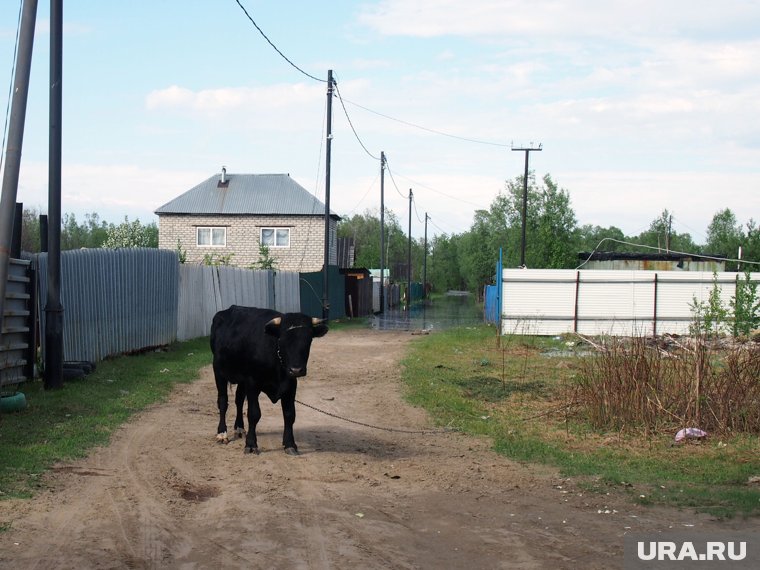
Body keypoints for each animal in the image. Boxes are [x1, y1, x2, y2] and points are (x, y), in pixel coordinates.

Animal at [209, 304, 328, 454]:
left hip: (242, 379)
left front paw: (290, 444)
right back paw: (221, 433)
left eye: (308, 340)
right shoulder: (252, 382)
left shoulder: (290, 384)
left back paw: (239, 428)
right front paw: (251, 444)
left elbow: (289, 414)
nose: (296, 370)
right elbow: (254, 413)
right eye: (282, 339)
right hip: (218, 371)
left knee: (239, 400)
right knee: (223, 401)